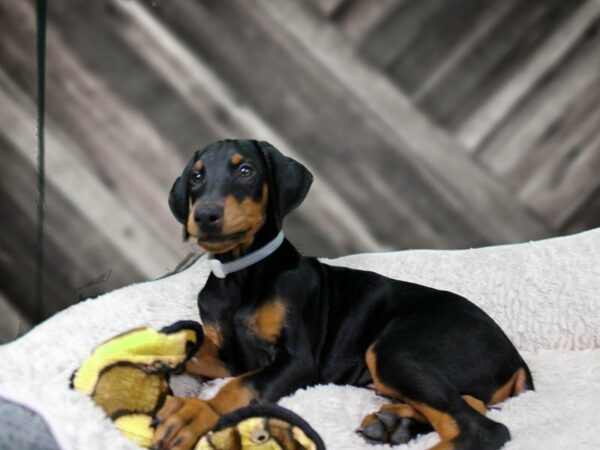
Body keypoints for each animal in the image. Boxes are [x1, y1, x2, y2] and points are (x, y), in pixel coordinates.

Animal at [151, 139, 536, 448]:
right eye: (196, 177)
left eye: (246, 170)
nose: (205, 215)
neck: (240, 272)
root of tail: (515, 359)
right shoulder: (230, 357)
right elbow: (198, 345)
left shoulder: (297, 361)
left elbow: (241, 386)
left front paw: (197, 411)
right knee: (471, 404)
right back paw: (394, 423)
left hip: (396, 350)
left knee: (483, 428)